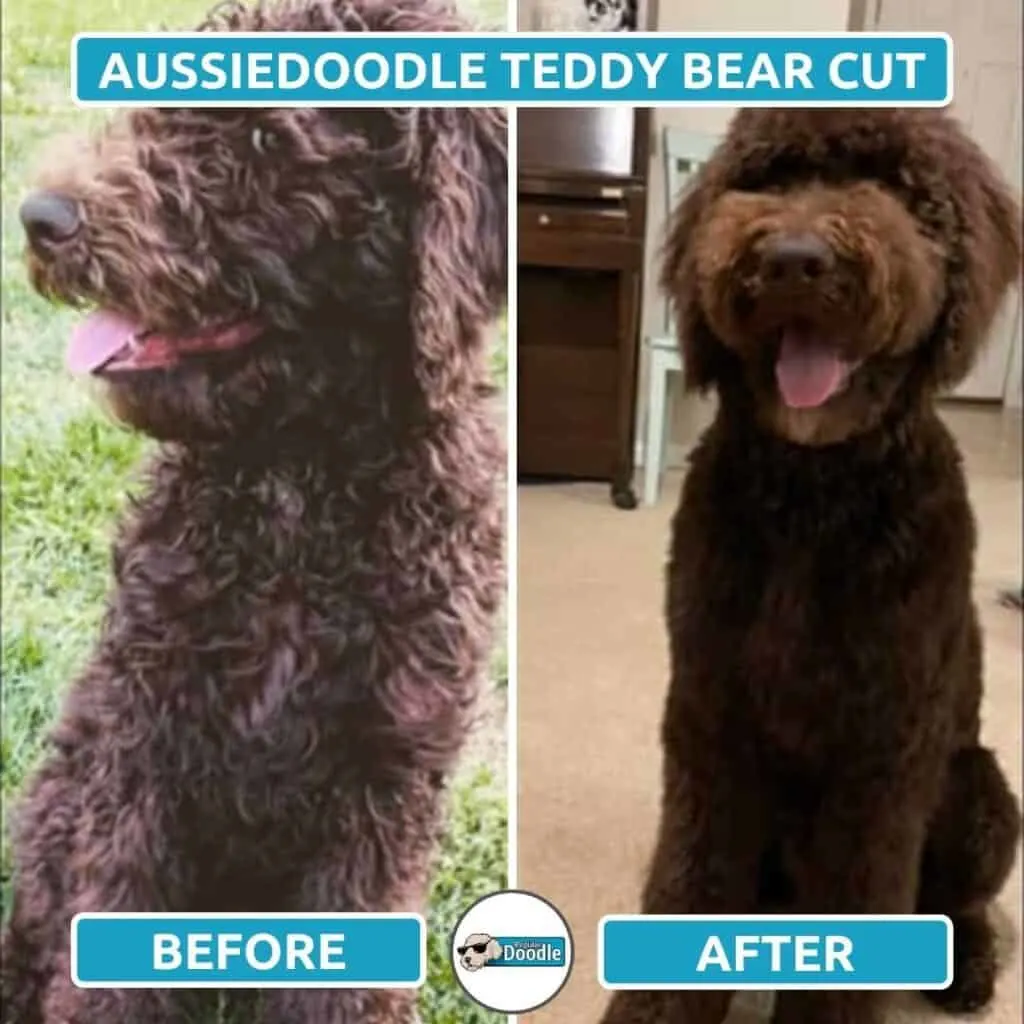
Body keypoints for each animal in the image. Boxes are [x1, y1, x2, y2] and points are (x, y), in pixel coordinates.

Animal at [598, 105, 1024, 1024]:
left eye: (895, 185)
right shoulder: (710, 727)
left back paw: (970, 967)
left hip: (982, 796)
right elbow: (689, 881)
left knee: (959, 903)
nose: (794, 259)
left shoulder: (879, 760)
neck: (813, 495)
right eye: (768, 176)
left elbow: (861, 900)